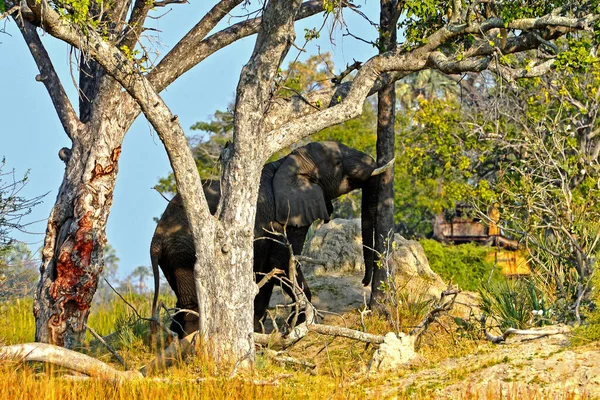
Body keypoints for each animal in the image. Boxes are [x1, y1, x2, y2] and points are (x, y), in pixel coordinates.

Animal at [152, 141, 392, 338]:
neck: (287, 162)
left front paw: (259, 332)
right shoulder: (284, 219)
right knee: (192, 304)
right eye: (338, 162)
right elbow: (283, 266)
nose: (364, 282)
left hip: (174, 259)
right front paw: (300, 325)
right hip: (184, 254)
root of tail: (155, 242)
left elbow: (266, 275)